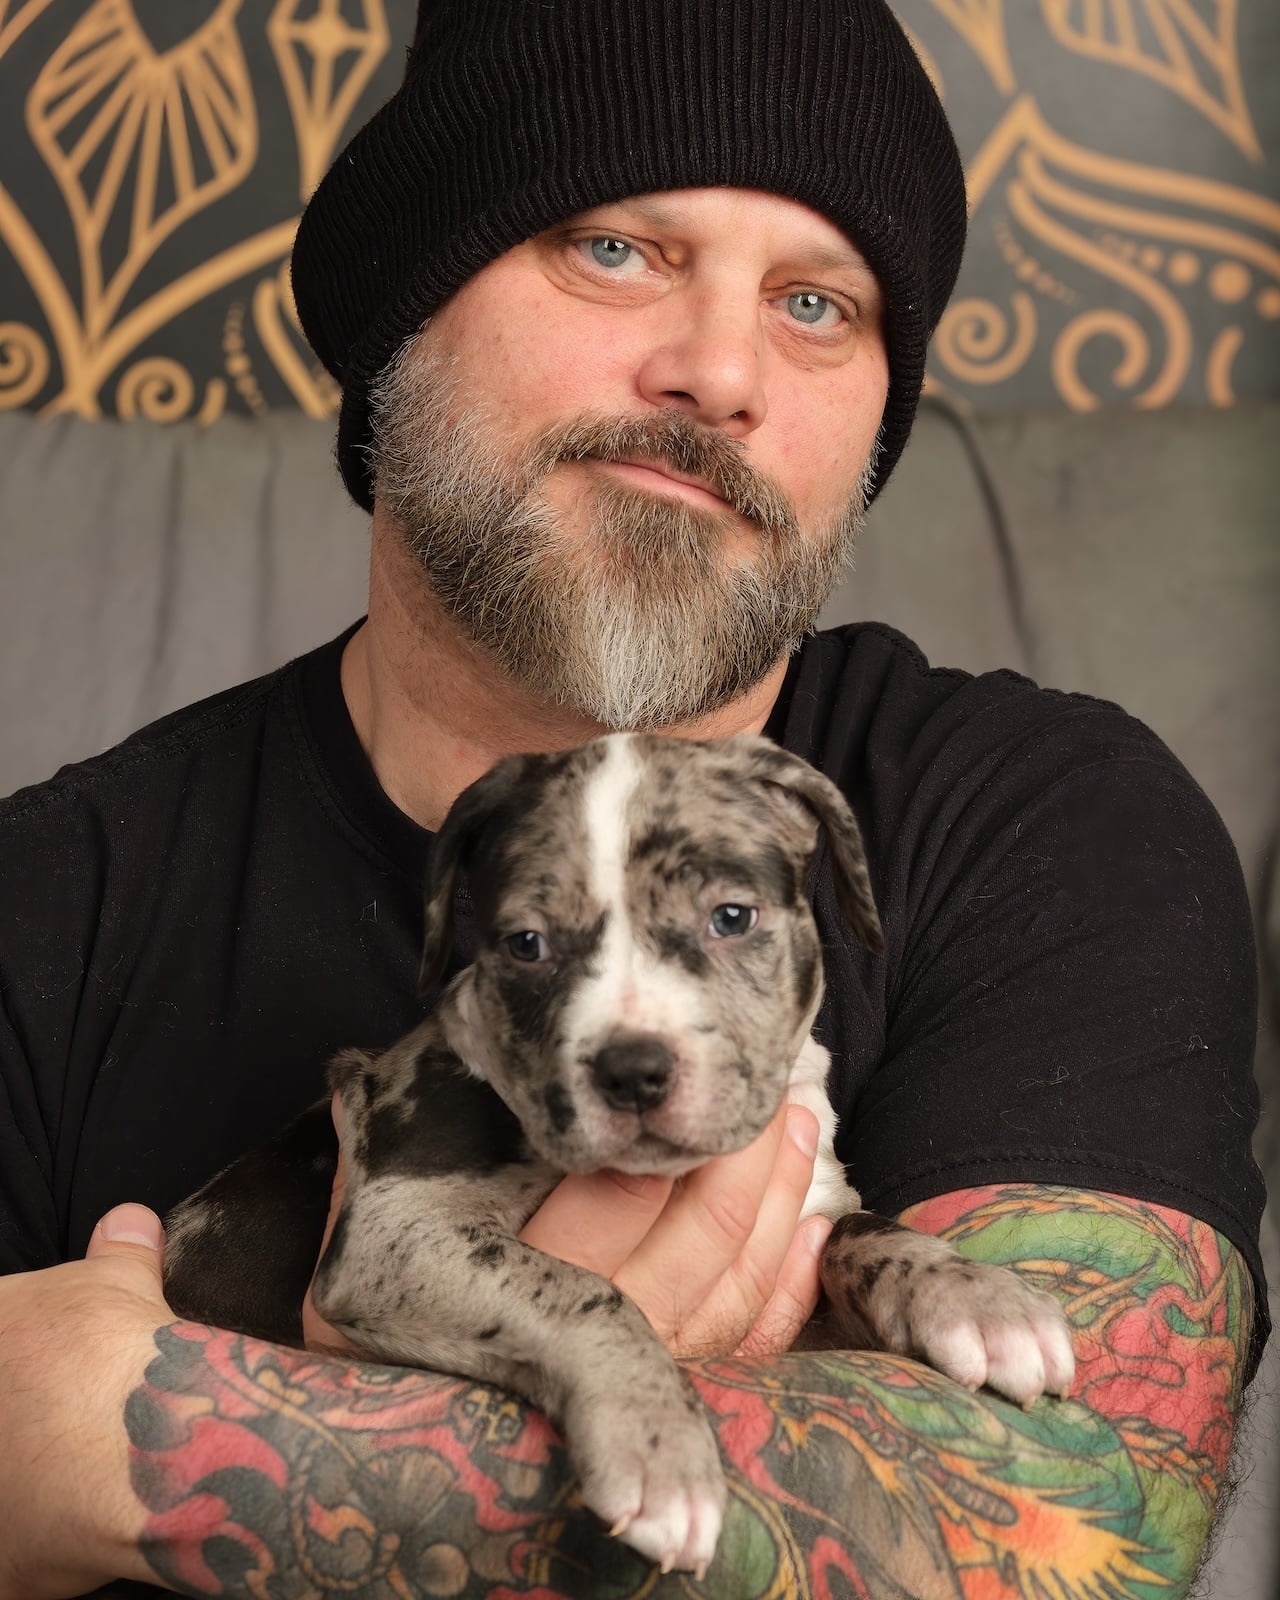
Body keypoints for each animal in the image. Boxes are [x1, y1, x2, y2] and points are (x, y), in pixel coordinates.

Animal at [164, 732, 1075, 1574]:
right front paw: (656, 1439)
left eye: (732, 918)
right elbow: (583, 1291)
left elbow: (866, 1232)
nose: (633, 1069)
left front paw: (972, 1294)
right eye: (526, 944)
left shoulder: (811, 1233)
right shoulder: (393, 1236)